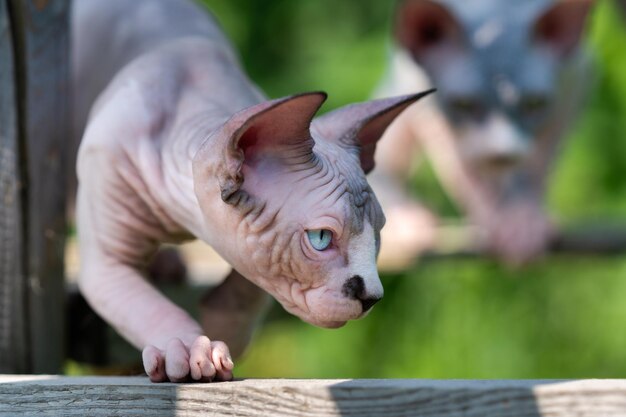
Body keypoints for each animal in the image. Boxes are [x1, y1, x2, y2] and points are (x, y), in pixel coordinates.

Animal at [70, 0, 428, 382]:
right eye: (320, 238)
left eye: (378, 235)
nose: (372, 296)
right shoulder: (108, 261)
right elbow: (149, 306)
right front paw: (189, 348)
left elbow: (252, 286)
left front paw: (222, 327)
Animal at [372, 0, 592, 264]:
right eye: (464, 104)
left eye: (534, 103)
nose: (502, 155)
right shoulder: (424, 95)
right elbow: (463, 169)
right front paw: (494, 216)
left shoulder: (575, 78)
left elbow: (537, 164)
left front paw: (522, 220)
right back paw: (402, 217)